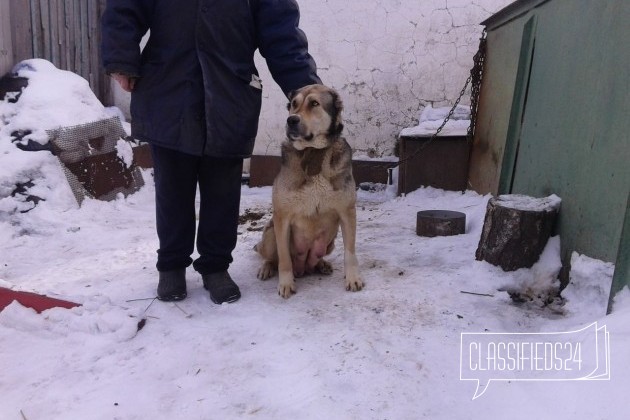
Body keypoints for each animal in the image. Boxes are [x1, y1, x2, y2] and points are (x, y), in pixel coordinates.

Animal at [256, 83, 366, 296]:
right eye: (293, 104)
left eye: (314, 103)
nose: (291, 120)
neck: (313, 151)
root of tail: (304, 268)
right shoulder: (282, 216)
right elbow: (284, 258)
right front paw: (286, 283)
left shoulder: (347, 212)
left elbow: (350, 251)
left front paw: (353, 278)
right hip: (271, 231)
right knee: (271, 257)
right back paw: (267, 268)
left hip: (331, 239)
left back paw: (322, 264)